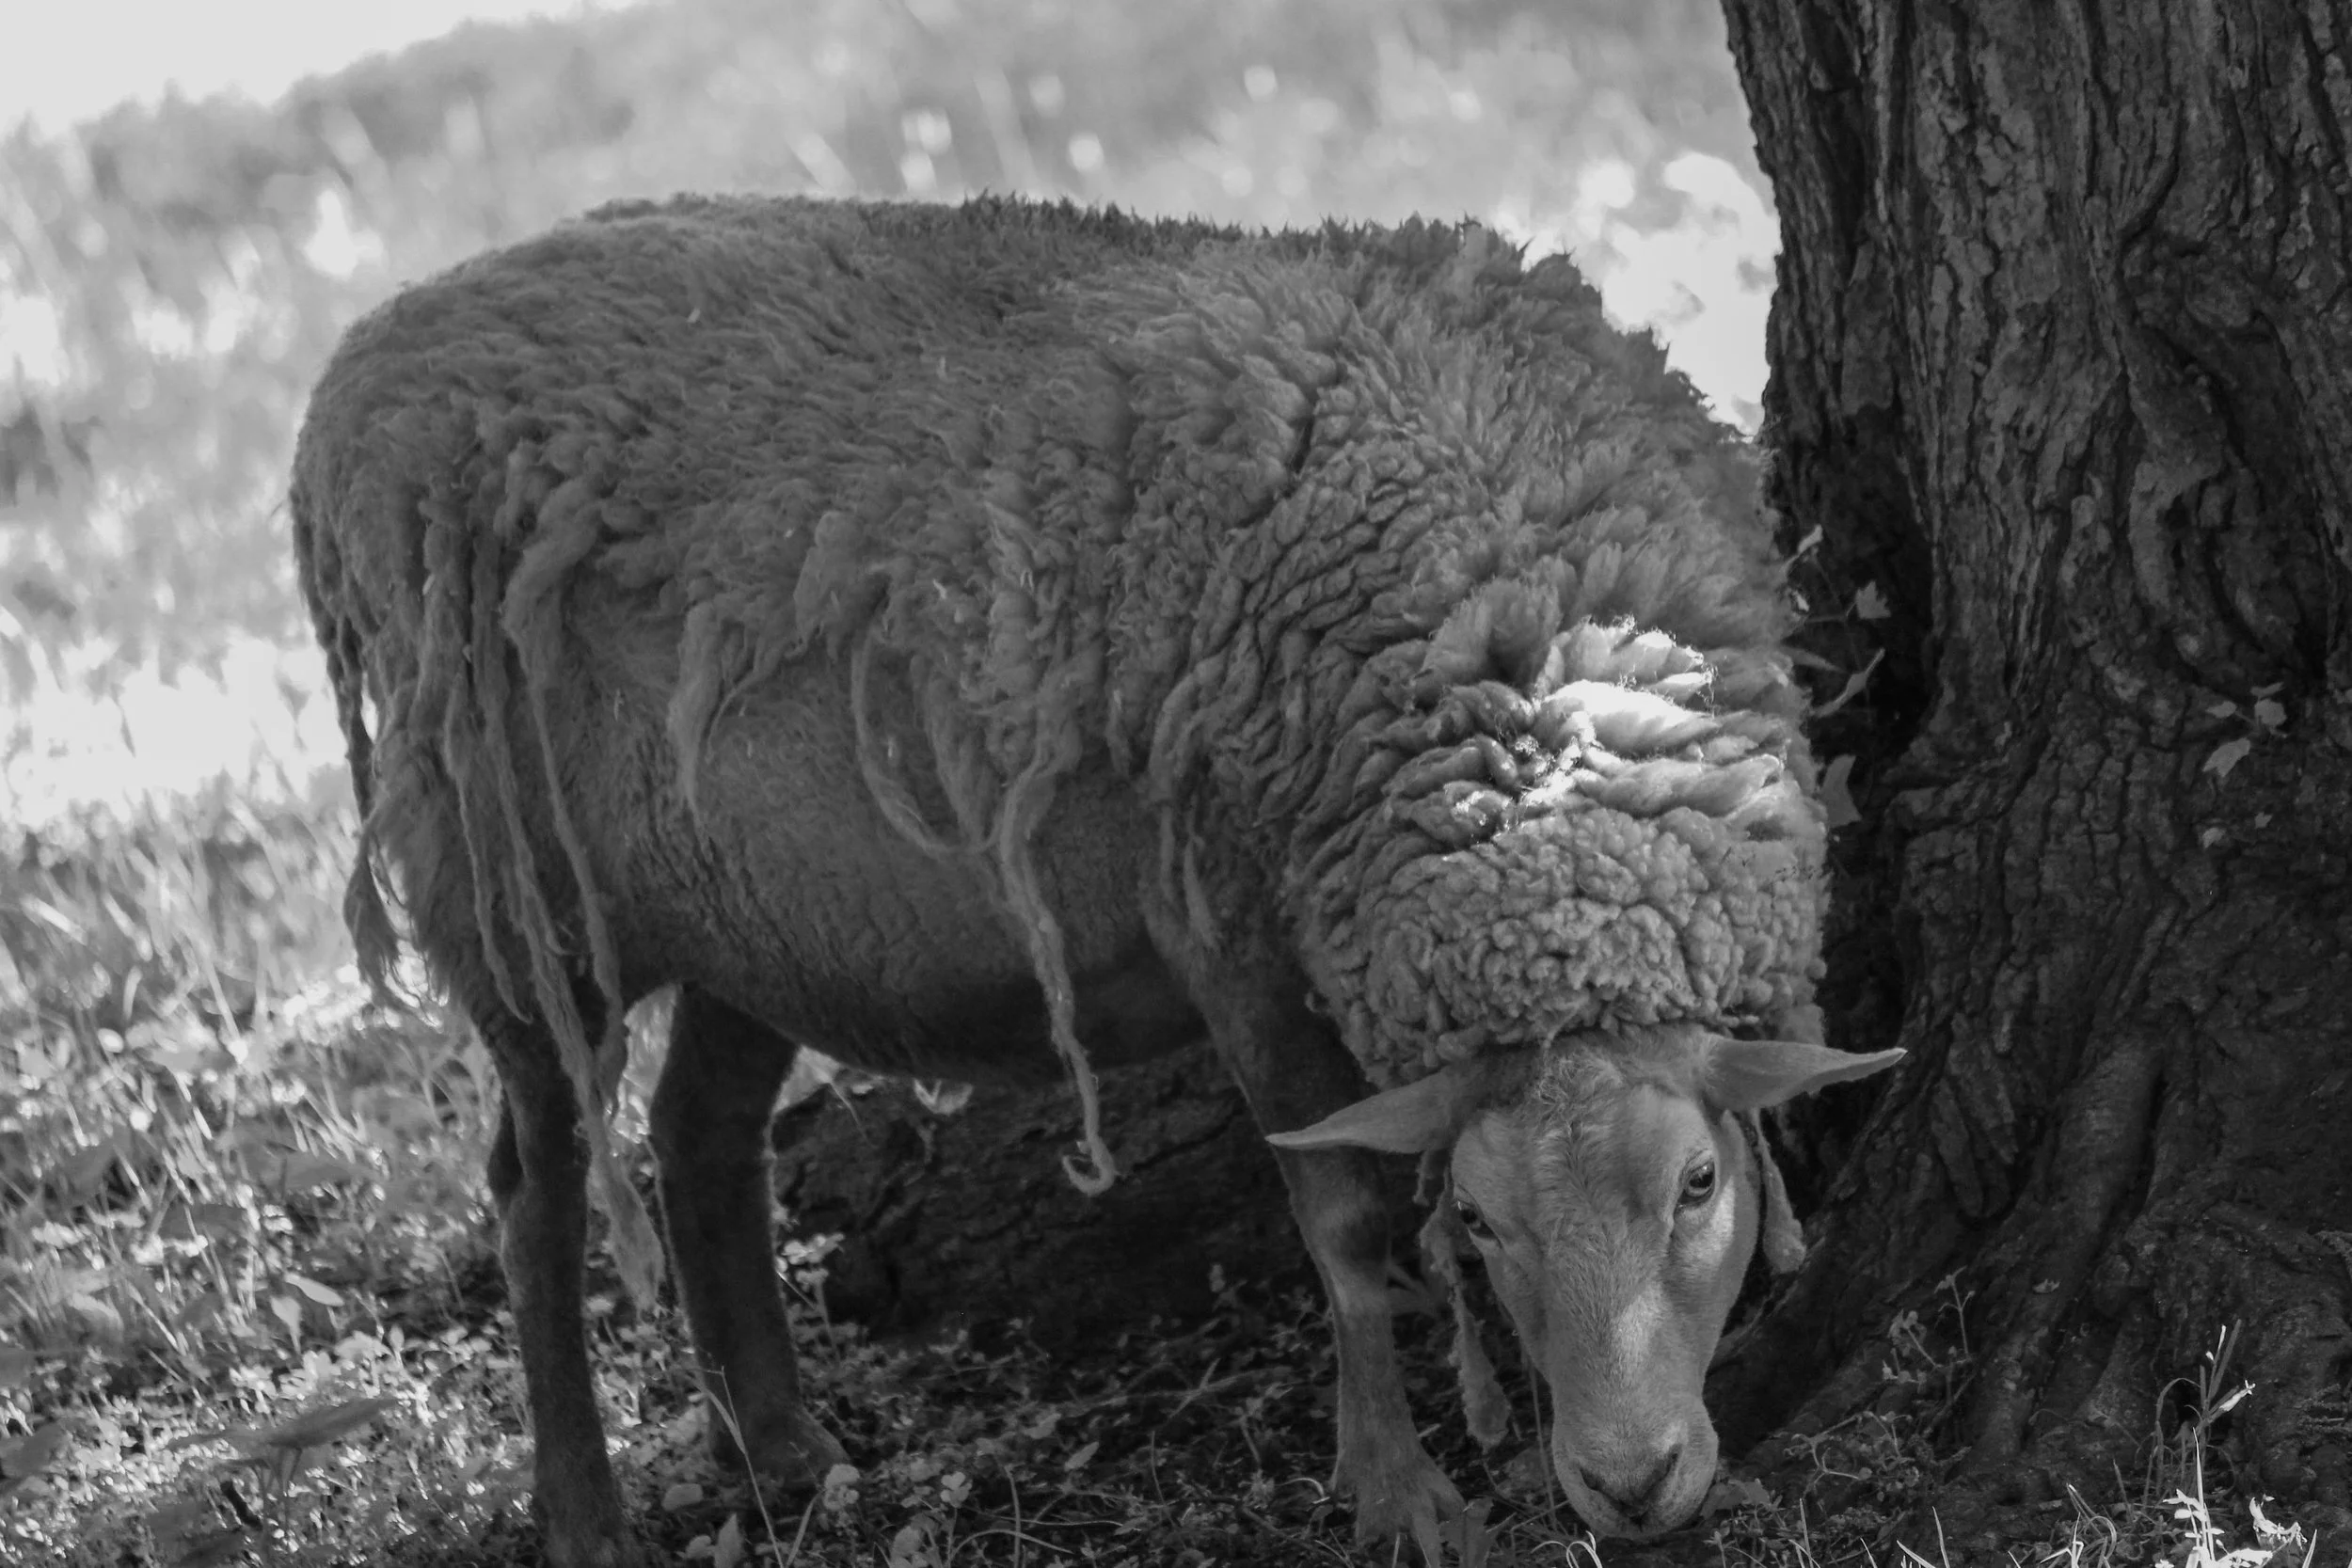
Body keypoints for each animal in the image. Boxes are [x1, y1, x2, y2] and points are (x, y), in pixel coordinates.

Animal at [291, 193, 1902, 1565]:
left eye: (1699, 1183)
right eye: (1489, 1222)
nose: (1628, 1482)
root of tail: (356, 372)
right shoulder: (1231, 915)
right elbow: (1343, 1218)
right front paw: (1399, 1490)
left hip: (755, 907)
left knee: (698, 1136)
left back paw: (790, 1451)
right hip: (509, 887)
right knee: (535, 1191)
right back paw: (584, 1510)